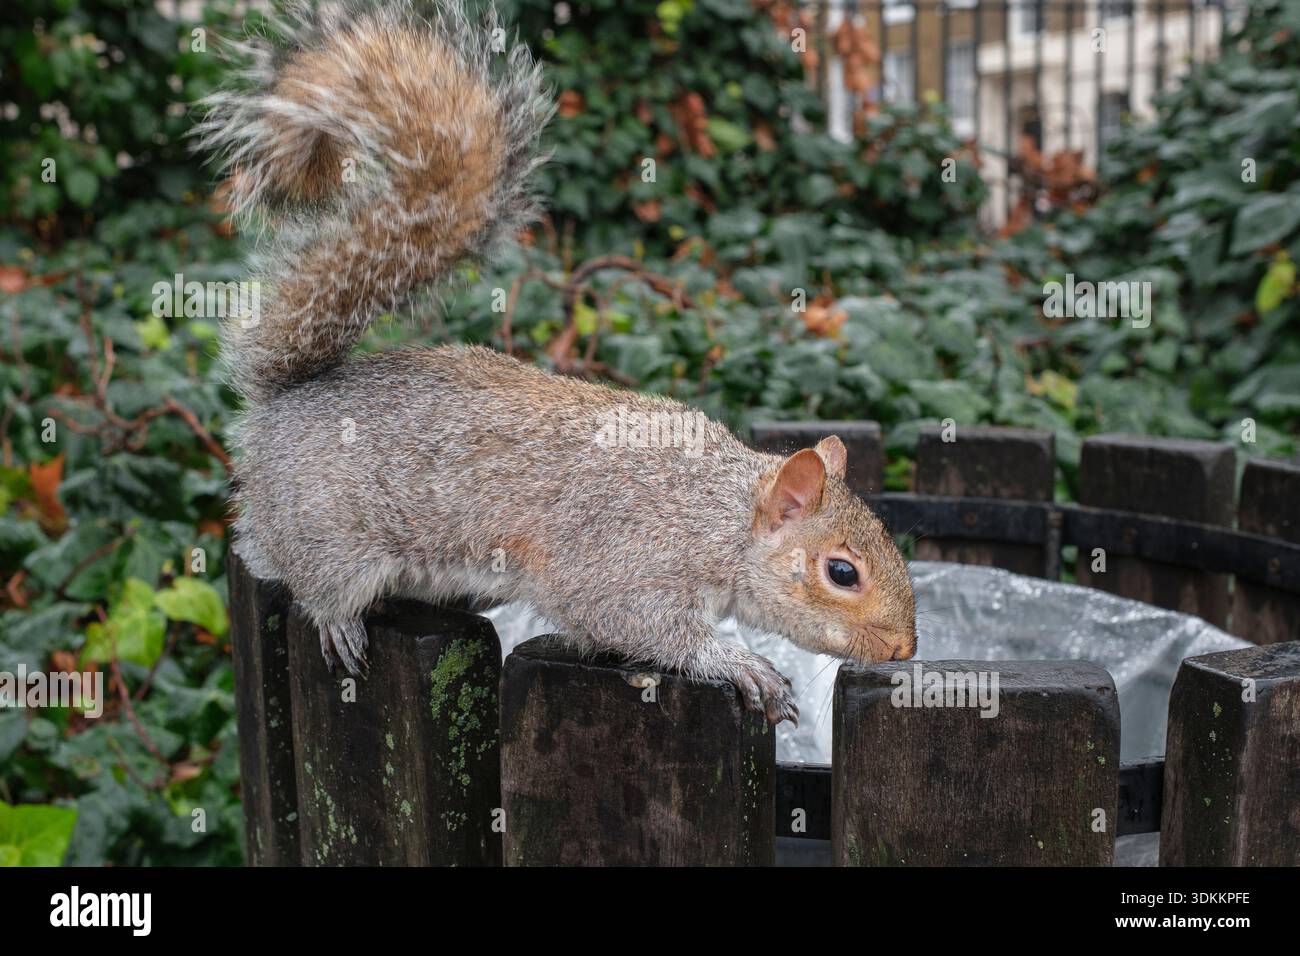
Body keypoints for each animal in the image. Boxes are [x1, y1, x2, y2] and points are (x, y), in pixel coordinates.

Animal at [198, 0, 916, 725]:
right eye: (842, 572)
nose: (904, 648)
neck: (716, 515)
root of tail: (284, 402)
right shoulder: (623, 563)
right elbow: (639, 625)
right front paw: (739, 663)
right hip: (326, 534)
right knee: (310, 580)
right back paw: (338, 621)